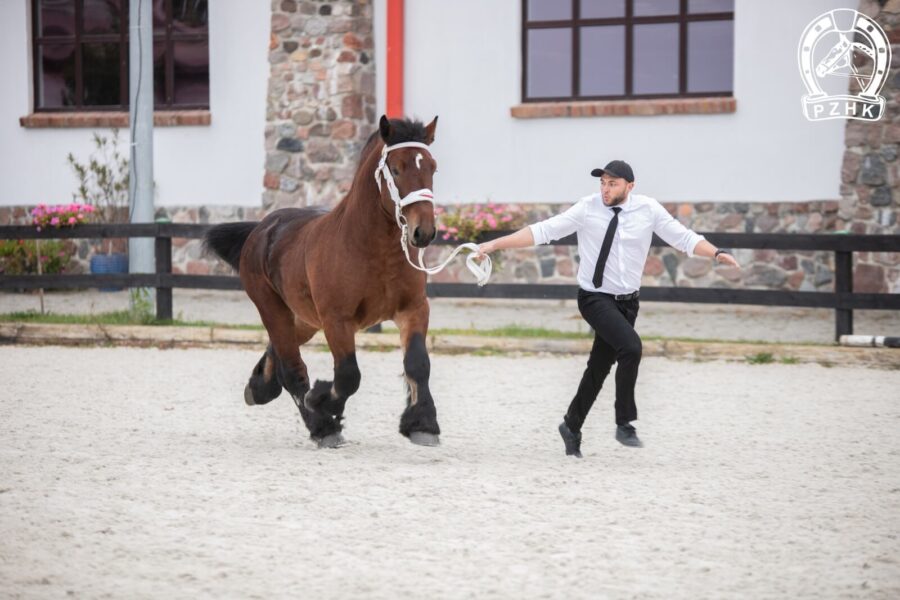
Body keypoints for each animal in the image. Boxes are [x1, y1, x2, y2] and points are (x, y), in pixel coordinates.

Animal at [205, 116, 442, 450]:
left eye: (432, 167)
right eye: (396, 169)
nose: (424, 232)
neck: (373, 249)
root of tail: (263, 229)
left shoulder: (413, 309)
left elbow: (418, 363)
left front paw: (423, 426)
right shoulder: (337, 320)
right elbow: (348, 376)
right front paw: (320, 402)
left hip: (303, 319)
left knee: (278, 353)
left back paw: (259, 387)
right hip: (273, 309)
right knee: (292, 369)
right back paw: (321, 427)